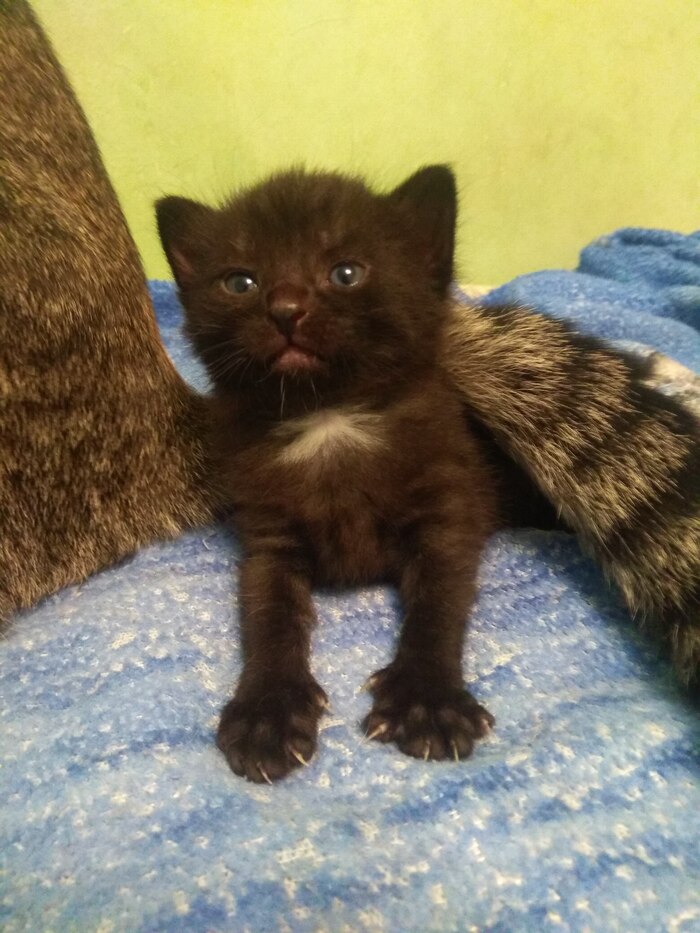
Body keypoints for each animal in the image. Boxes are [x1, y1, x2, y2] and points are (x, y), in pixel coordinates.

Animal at [156, 166, 505, 782]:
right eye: (240, 282)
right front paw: (267, 714)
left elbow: (439, 605)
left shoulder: (450, 508)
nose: (285, 307)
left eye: (346, 272)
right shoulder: (269, 537)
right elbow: (268, 618)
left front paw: (428, 701)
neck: (328, 418)